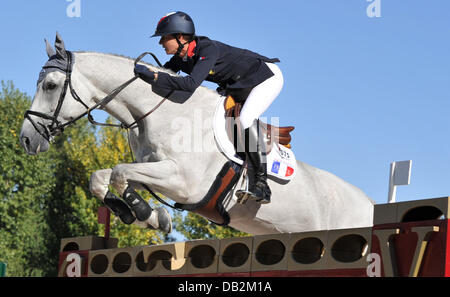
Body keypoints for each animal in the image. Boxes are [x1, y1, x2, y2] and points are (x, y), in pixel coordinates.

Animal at [19, 33, 374, 235]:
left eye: (50, 85)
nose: (26, 139)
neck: (163, 111)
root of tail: (370, 204)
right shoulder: (153, 169)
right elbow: (104, 177)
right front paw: (149, 217)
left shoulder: (183, 182)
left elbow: (118, 173)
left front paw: (146, 214)